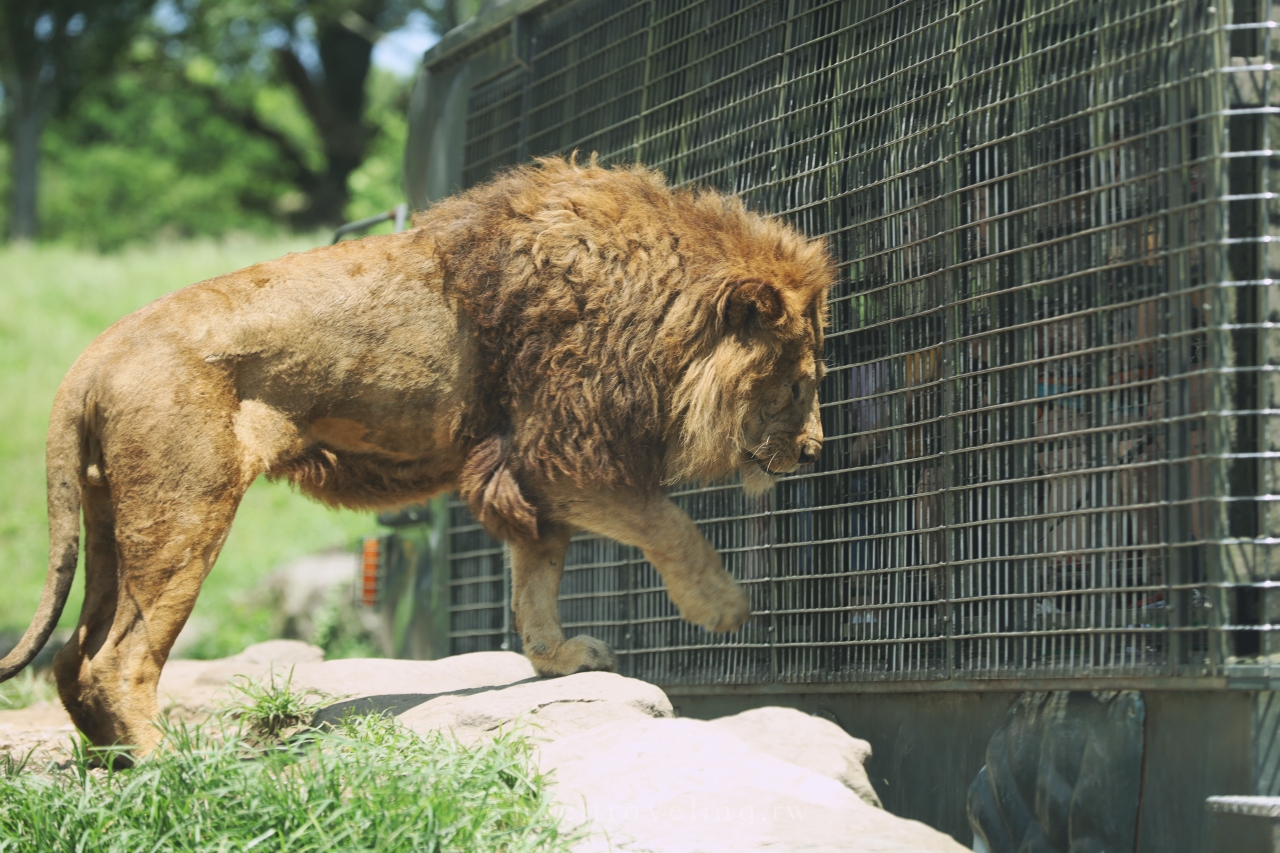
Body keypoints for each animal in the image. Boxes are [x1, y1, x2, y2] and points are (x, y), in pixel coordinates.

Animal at [0, 156, 829, 747]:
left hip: (115, 522)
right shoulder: (564, 453)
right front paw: (723, 606)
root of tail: (91, 356)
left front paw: (557, 658)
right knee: (117, 661)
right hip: (182, 513)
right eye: (798, 384)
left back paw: (114, 765)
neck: (660, 308)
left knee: (72, 657)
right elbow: (671, 524)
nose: (816, 452)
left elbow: (536, 581)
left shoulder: (522, 471)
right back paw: (166, 767)